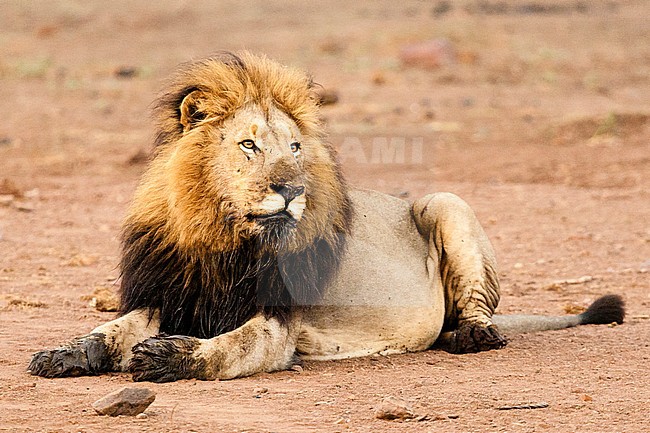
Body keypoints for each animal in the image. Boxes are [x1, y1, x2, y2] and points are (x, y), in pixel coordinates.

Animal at [28, 52, 624, 382]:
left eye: (294, 148)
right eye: (248, 145)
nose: (291, 191)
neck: (222, 240)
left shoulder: (280, 323)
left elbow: (230, 349)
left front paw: (169, 358)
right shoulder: (169, 293)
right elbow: (109, 330)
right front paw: (63, 354)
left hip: (446, 203)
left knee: (479, 312)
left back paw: (472, 337)